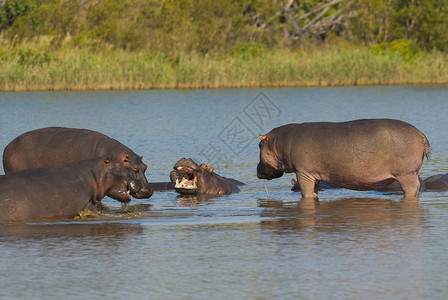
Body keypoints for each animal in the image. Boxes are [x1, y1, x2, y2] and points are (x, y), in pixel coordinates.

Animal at [260, 119, 430, 199]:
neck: (278, 142)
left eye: (258, 145)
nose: (258, 171)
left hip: (406, 173)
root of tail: (420, 132)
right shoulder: (314, 174)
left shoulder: (303, 171)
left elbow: (305, 192)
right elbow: (313, 190)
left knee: (412, 188)